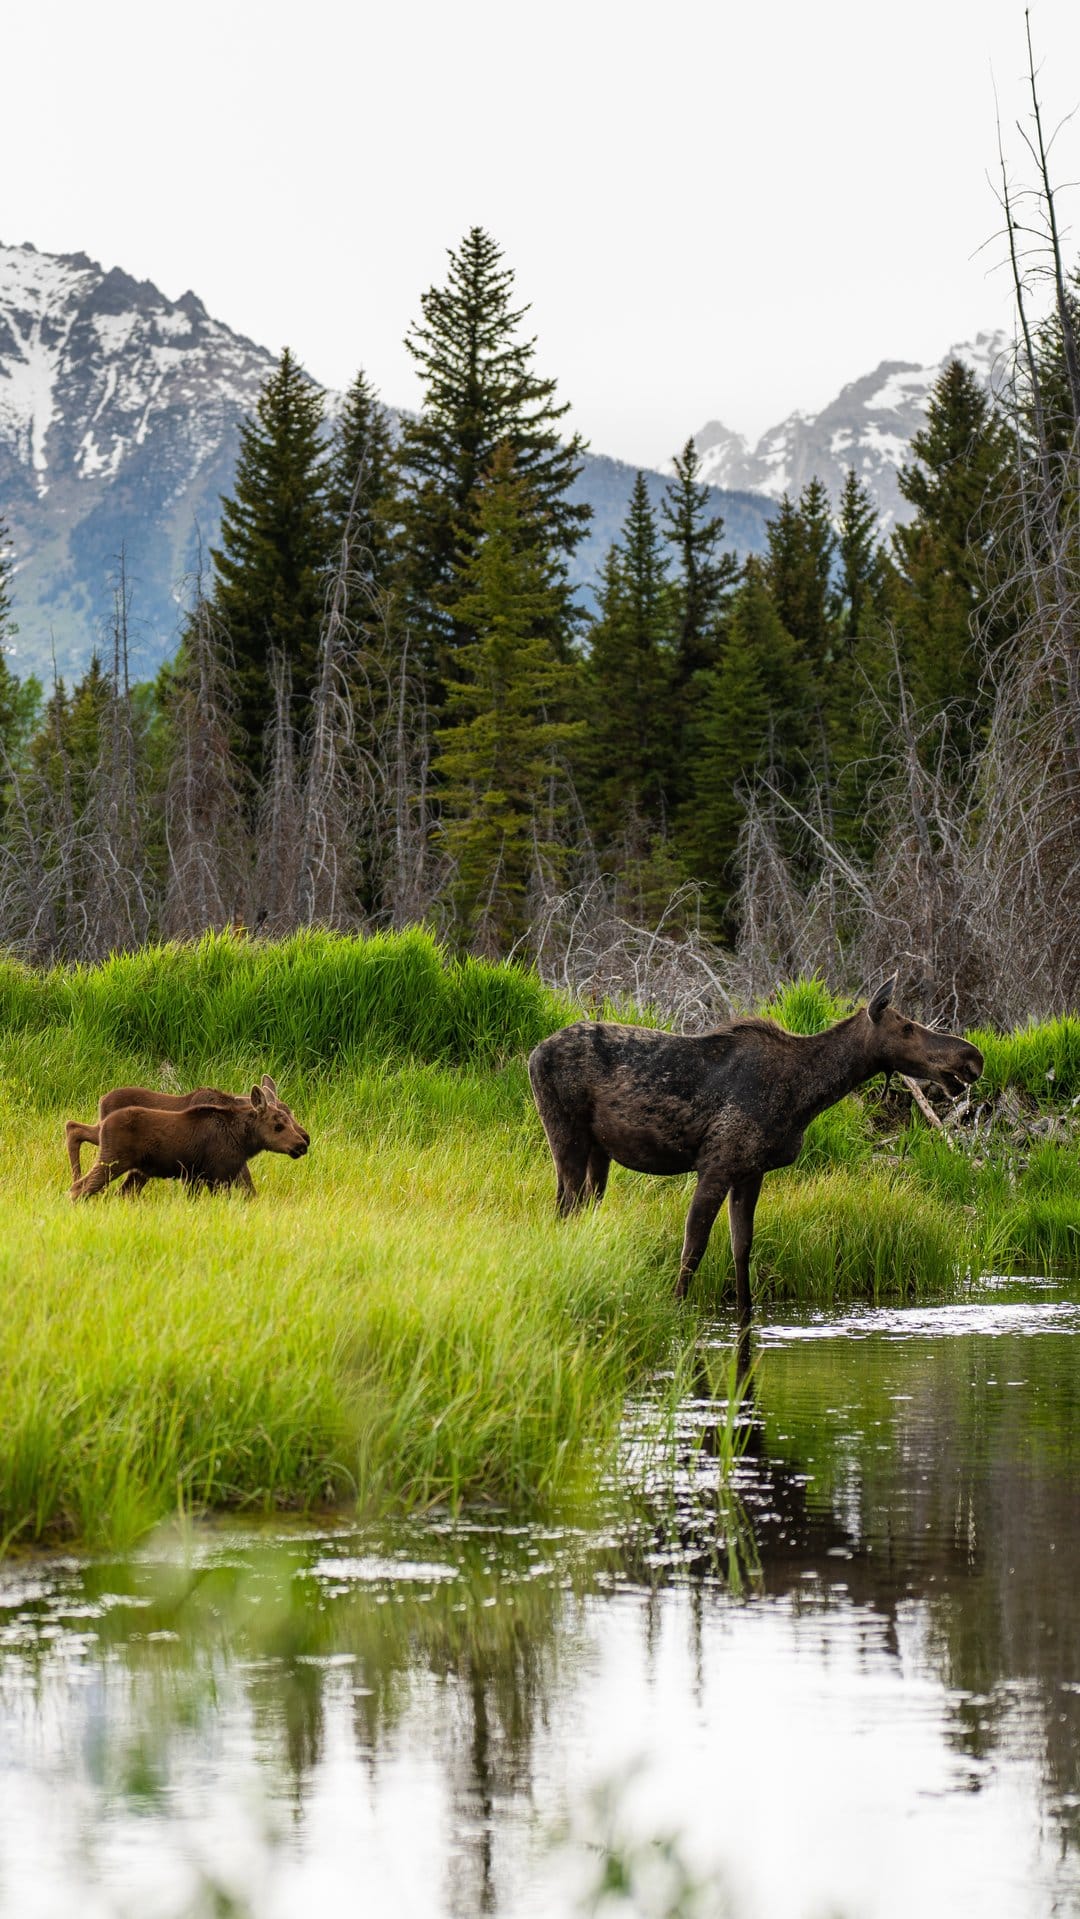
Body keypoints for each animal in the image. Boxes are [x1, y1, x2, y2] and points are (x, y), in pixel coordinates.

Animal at [527, 975, 984, 1311]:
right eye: (906, 1027)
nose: (972, 1057)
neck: (803, 1098)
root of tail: (532, 1054)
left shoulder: (751, 1171)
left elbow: (741, 1249)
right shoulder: (717, 1163)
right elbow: (693, 1248)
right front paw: (676, 1307)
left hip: (598, 1153)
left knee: (578, 1209)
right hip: (564, 1133)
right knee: (564, 1208)